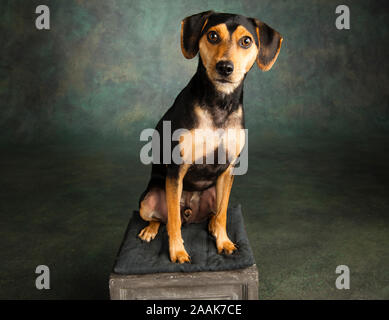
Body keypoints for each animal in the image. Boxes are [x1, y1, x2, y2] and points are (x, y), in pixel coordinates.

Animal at [136, 11, 282, 264]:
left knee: (215, 213)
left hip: (216, 192)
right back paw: (150, 230)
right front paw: (177, 252)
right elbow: (173, 220)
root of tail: (190, 213)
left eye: (246, 41)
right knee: (164, 217)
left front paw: (223, 242)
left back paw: (213, 227)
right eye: (213, 35)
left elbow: (223, 214)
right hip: (149, 199)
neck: (219, 103)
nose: (225, 67)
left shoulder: (228, 168)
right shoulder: (176, 168)